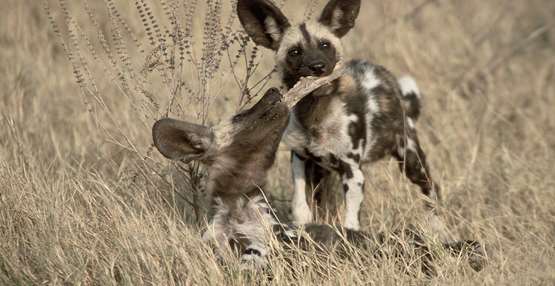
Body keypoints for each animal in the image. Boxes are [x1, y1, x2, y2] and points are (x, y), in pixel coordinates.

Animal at [239, 0, 444, 231]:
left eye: (325, 45)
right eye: (295, 52)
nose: (317, 67)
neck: (316, 116)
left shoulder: (352, 171)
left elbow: (350, 223)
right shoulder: (300, 158)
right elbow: (300, 207)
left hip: (411, 160)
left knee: (431, 189)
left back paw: (437, 225)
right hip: (323, 173)